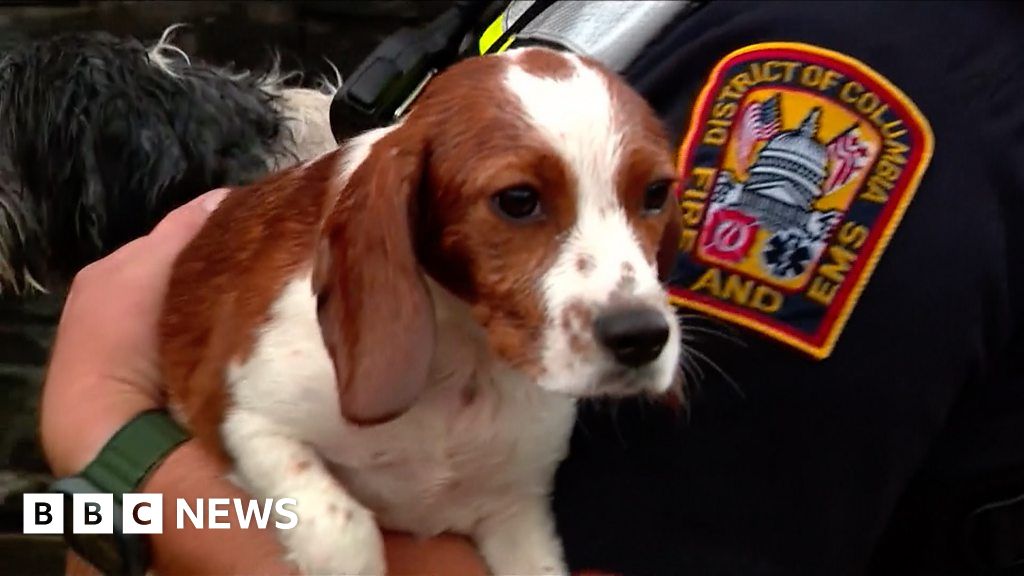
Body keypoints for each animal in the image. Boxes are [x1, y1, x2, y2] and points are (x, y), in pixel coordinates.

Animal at [159, 45, 684, 573]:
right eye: (518, 200)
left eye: (656, 193)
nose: (641, 337)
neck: (465, 360)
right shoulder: (238, 414)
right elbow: (343, 531)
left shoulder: (516, 508)